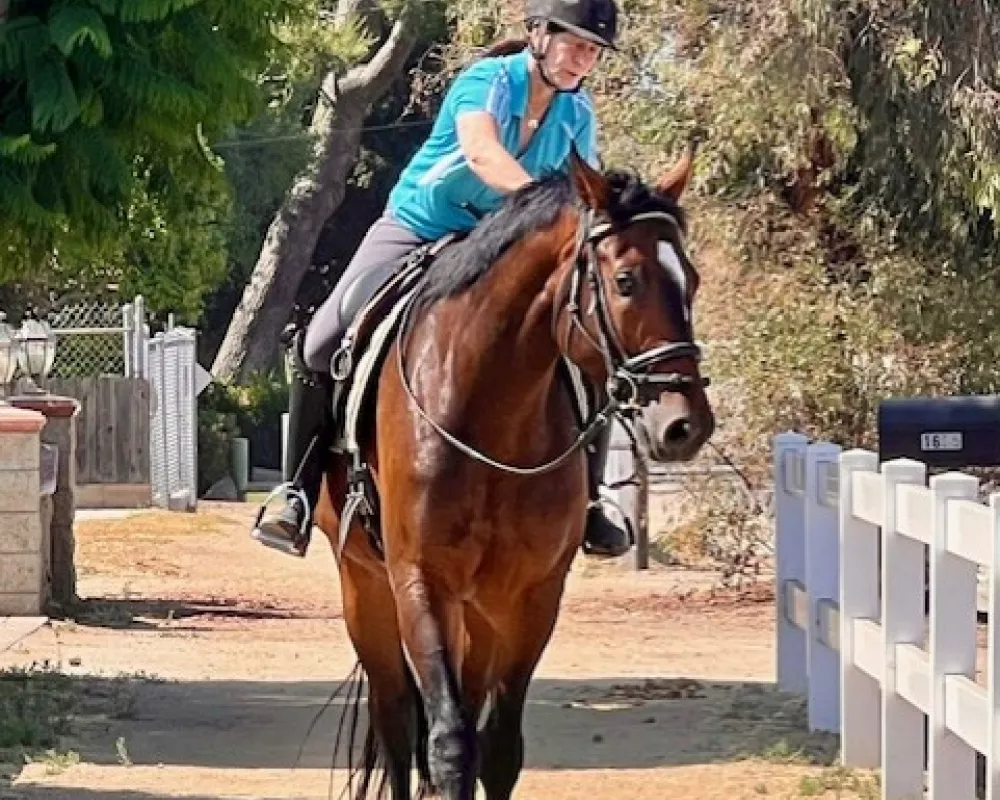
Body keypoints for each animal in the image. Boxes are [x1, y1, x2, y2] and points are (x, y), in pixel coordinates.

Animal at [316, 147, 716, 796]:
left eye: (692, 280)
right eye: (626, 281)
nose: (686, 424)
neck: (487, 407)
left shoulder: (531, 595)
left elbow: (498, 747)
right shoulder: (420, 581)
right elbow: (449, 743)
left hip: (478, 613)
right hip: (366, 588)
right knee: (397, 725)